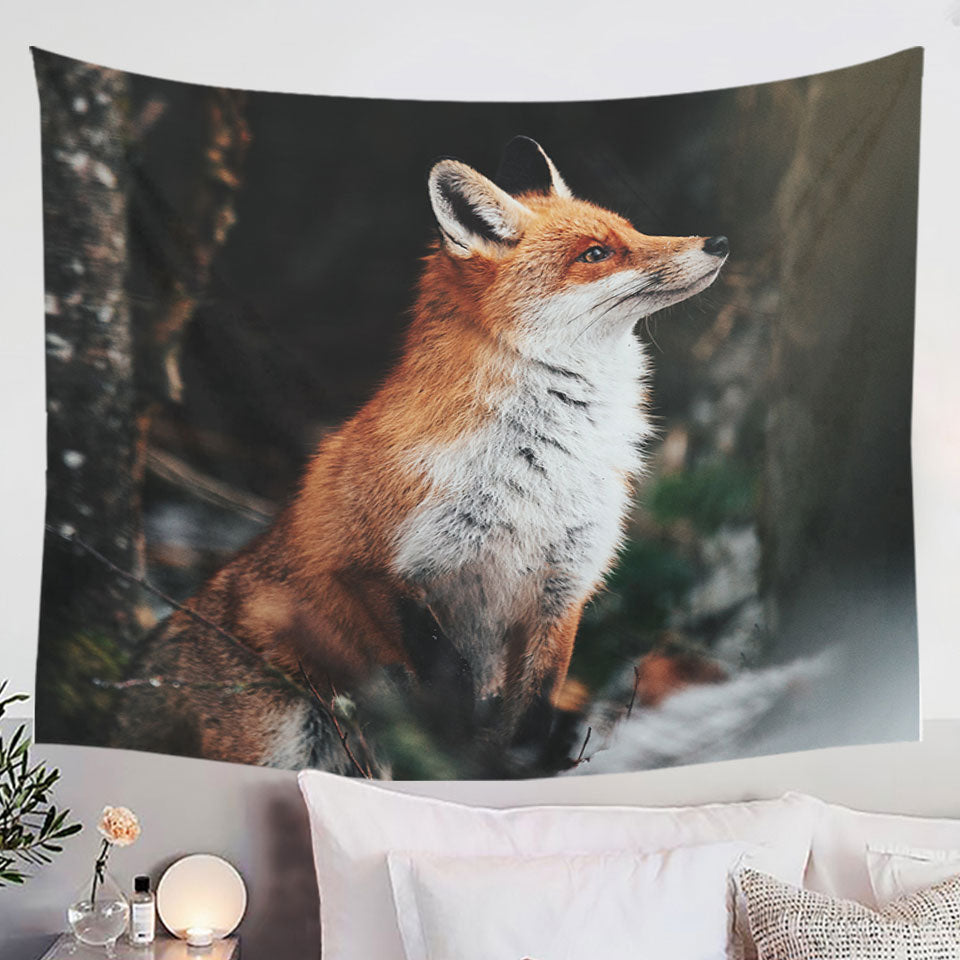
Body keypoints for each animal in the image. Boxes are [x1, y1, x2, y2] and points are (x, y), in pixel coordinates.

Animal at [115, 136, 728, 774]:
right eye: (596, 253)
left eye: (632, 229)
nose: (717, 242)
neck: (540, 467)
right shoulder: (369, 565)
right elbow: (447, 680)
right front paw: (466, 750)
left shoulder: (563, 588)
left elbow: (533, 710)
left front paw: (514, 768)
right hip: (285, 739)